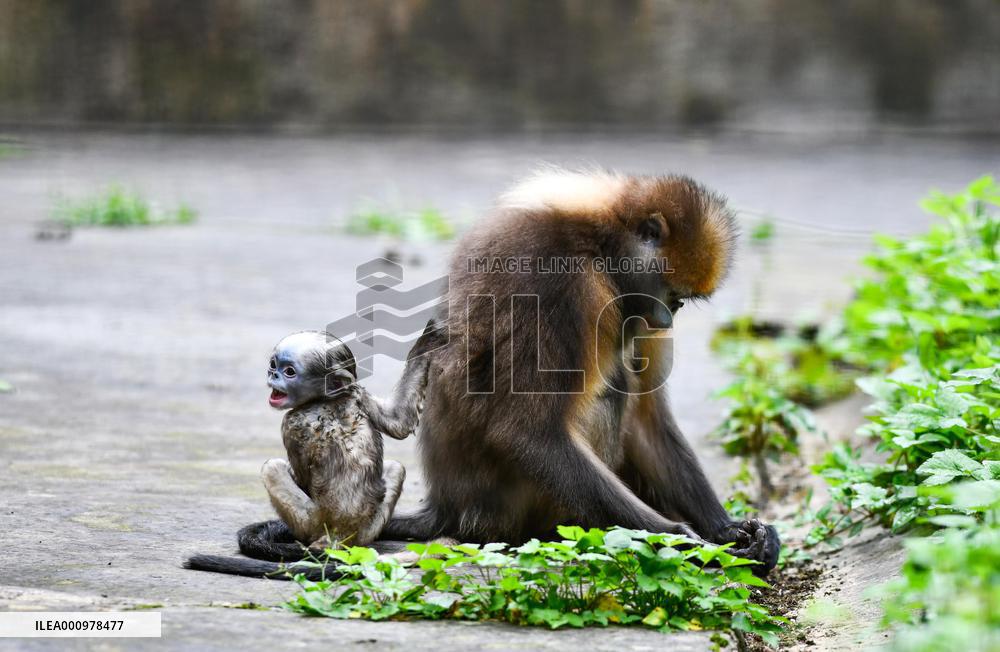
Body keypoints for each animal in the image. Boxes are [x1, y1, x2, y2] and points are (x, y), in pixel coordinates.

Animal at [185, 322, 442, 579]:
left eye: (289, 371)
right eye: (273, 365)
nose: (272, 374)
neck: (326, 400)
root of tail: (337, 537)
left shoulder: (290, 422)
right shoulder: (358, 395)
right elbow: (400, 422)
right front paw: (429, 339)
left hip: (311, 522)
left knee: (272, 468)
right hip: (367, 530)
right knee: (396, 468)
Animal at [237, 168, 780, 576]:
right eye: (673, 295)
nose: (667, 317)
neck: (597, 241)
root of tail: (451, 507)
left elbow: (647, 422)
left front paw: (727, 530)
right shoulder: (568, 285)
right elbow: (524, 432)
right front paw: (682, 542)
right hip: (515, 504)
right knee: (608, 390)